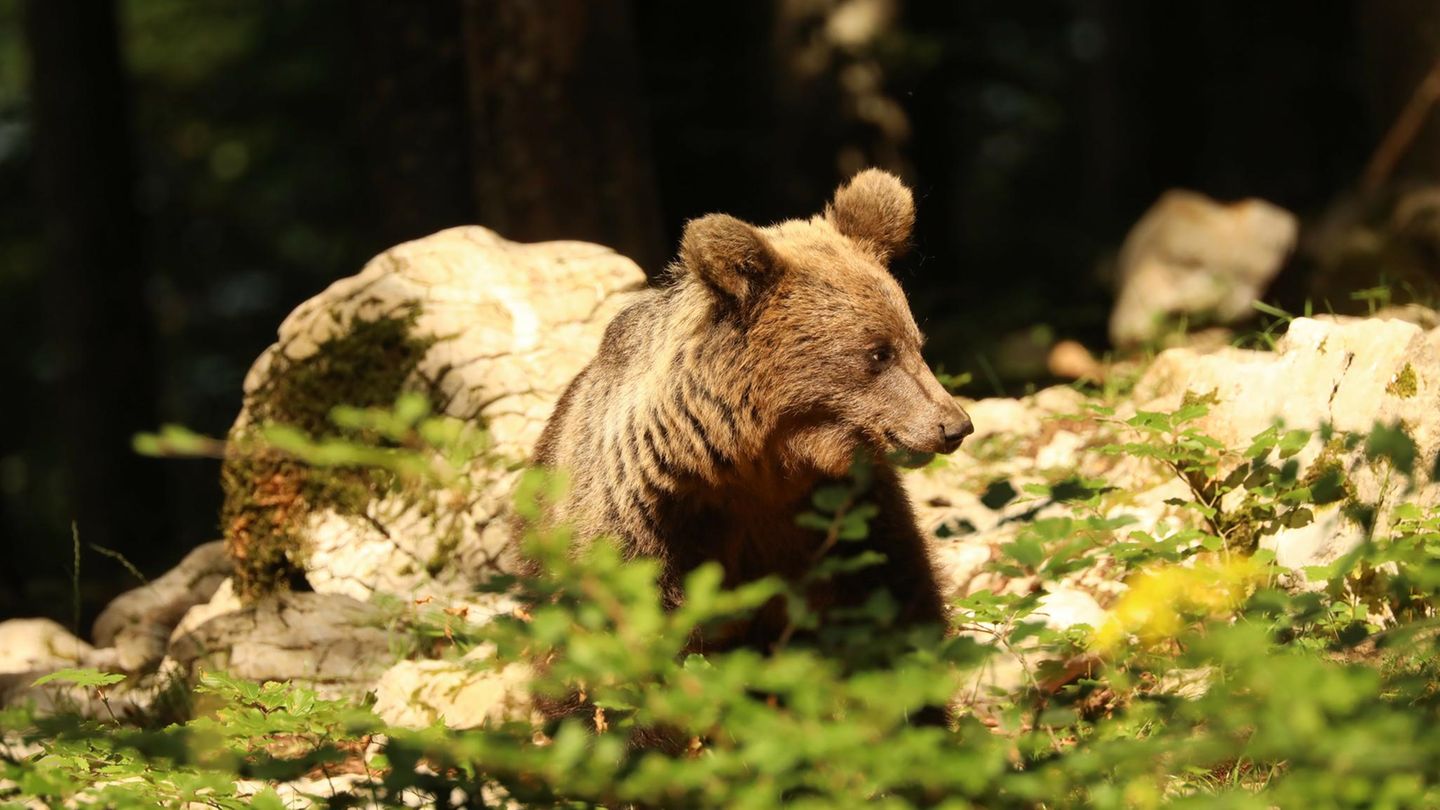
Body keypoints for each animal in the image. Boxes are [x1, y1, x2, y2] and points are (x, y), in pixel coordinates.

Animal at [515, 168, 967, 648]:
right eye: (879, 352)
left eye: (916, 343)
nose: (955, 425)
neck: (757, 465)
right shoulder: (648, 524)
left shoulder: (849, 512)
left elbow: (897, 595)